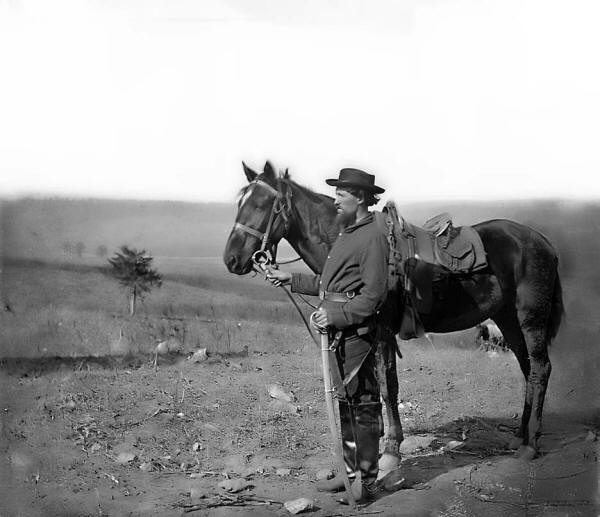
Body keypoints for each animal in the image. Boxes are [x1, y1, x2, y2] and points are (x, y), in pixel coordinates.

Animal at [224, 161, 564, 460]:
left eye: (261, 204)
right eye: (241, 203)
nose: (231, 259)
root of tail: (543, 242)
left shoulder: (383, 332)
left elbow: (388, 386)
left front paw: (390, 447)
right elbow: (372, 386)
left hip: (530, 318)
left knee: (540, 369)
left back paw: (531, 444)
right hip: (507, 319)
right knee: (527, 368)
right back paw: (519, 435)